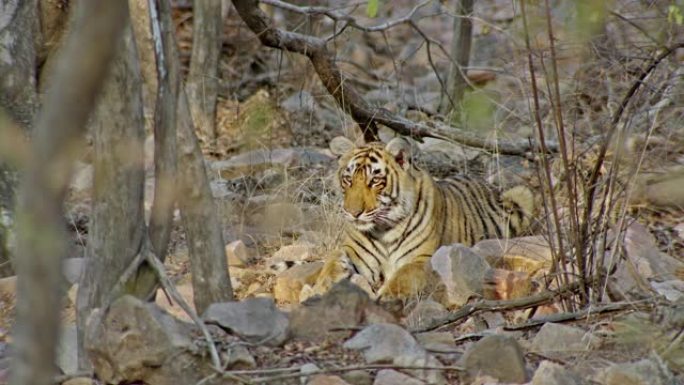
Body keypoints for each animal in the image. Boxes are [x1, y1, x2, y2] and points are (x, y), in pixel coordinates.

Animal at [314, 134, 536, 296]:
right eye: (348, 179)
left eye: (375, 181)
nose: (353, 213)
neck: (383, 229)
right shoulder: (352, 252)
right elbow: (331, 263)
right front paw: (319, 288)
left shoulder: (422, 259)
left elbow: (402, 277)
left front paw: (384, 297)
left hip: (522, 195)